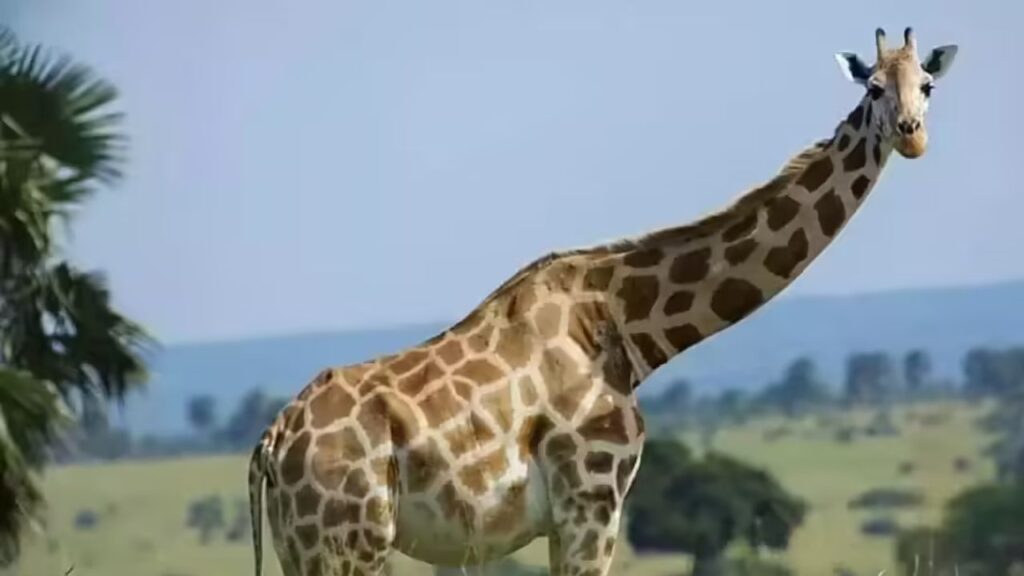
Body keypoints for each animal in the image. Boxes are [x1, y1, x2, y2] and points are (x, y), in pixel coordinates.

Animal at [247, 27, 958, 576]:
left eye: (927, 84)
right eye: (872, 88)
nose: (912, 135)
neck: (629, 328)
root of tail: (271, 443)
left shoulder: (571, 515)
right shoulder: (592, 498)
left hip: (303, 546)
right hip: (349, 540)